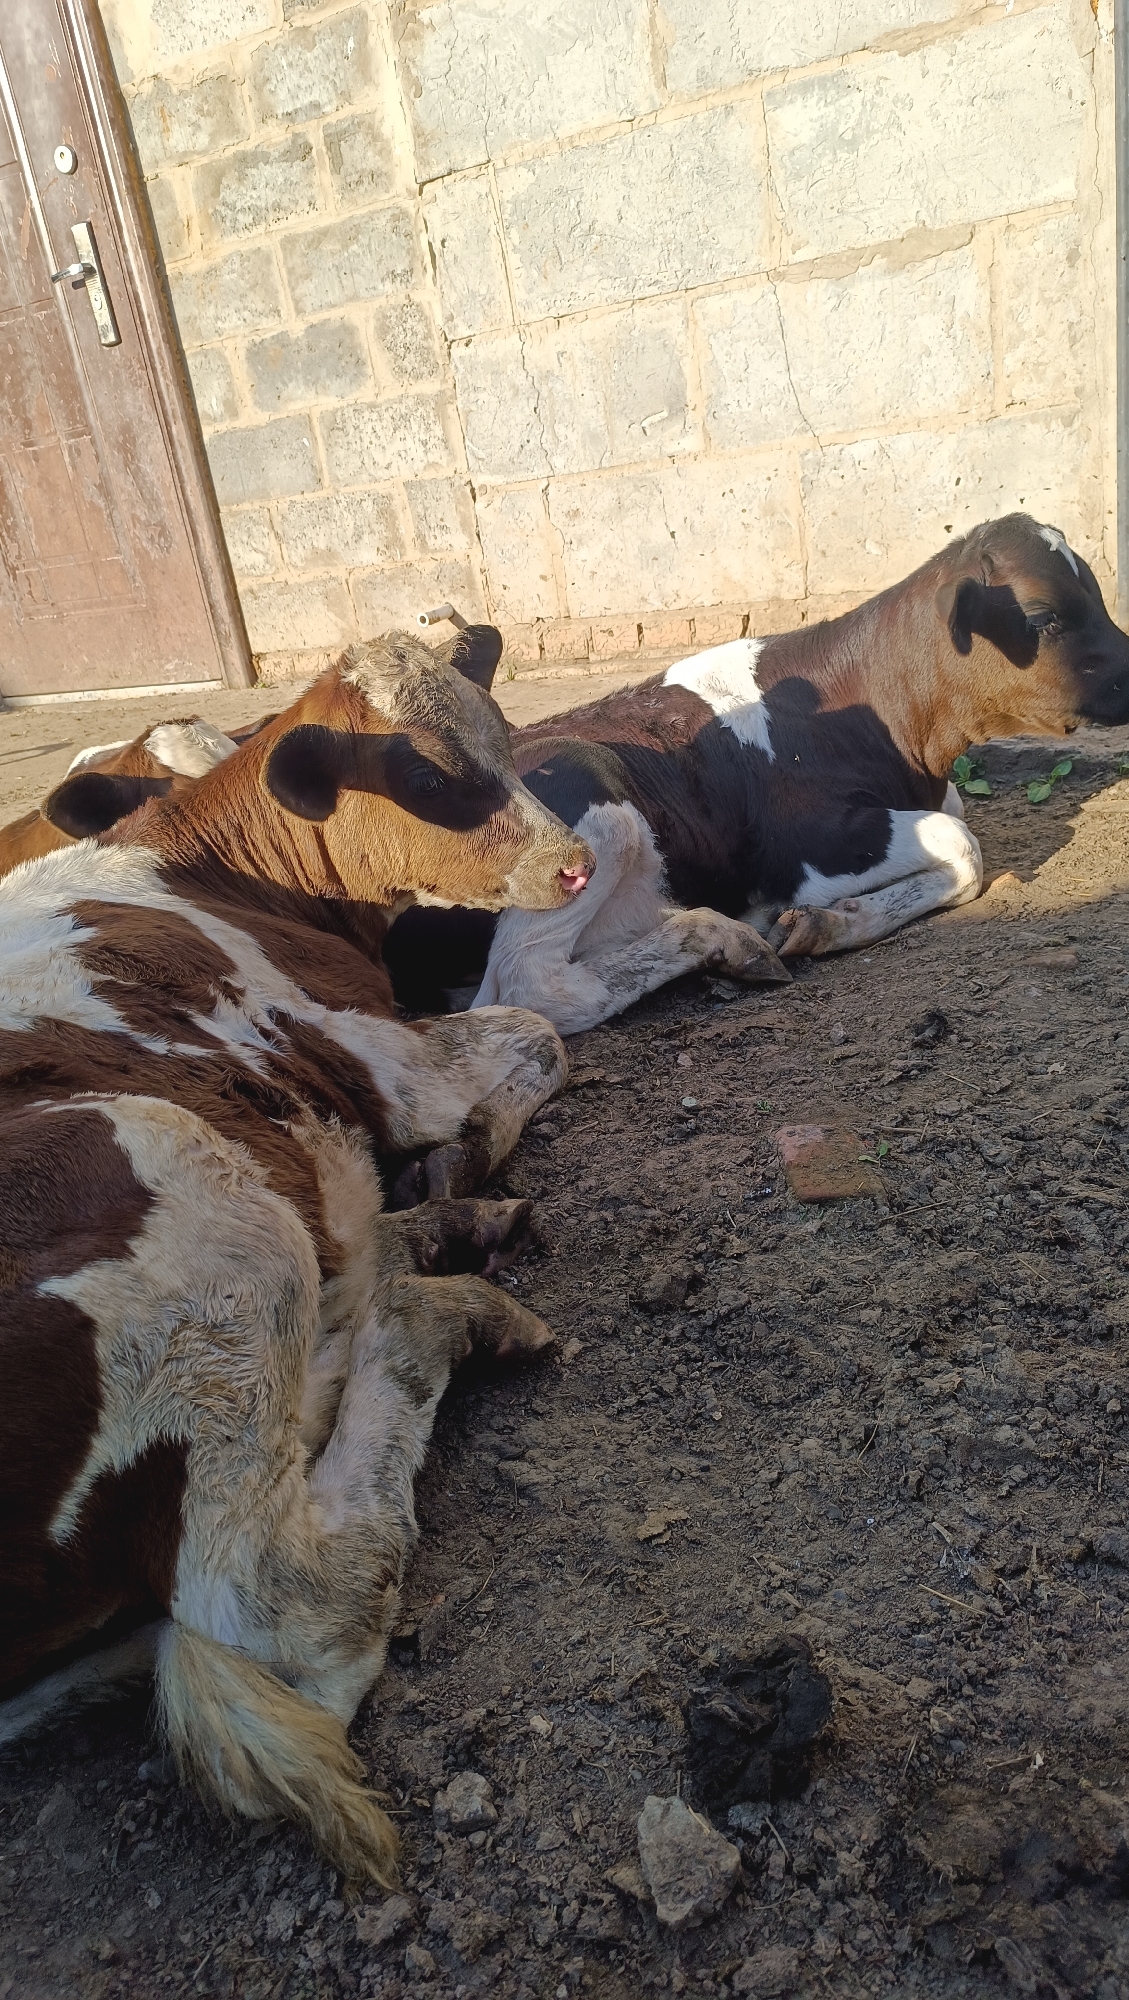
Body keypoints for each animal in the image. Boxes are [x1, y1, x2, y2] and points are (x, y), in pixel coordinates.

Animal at [0, 623, 595, 1886]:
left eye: (503, 730)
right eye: (422, 771)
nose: (573, 864)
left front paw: (436, 1197)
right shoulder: (381, 1056)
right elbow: (536, 1039)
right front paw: (460, 1161)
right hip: (206, 1221)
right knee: (293, 1607)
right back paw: (433, 1305)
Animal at [385, 516, 1129, 1033]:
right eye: (1042, 615)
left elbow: (960, 838)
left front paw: (831, 921)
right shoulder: (806, 844)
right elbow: (962, 844)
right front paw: (820, 919)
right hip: (581, 795)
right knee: (534, 987)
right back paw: (725, 940)